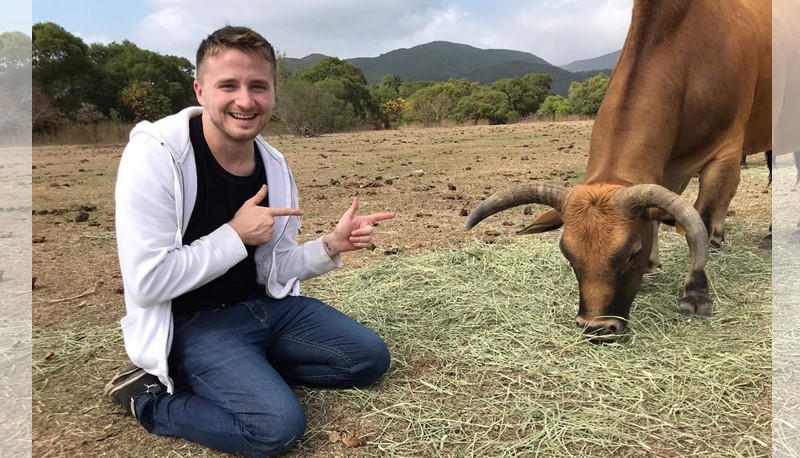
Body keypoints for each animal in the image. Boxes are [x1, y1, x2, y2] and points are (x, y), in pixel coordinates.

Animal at [466, 0, 772, 340]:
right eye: (568, 254)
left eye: (631, 253)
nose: (597, 327)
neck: (689, 56)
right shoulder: (666, 169)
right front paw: (655, 265)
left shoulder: (725, 153)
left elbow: (700, 220)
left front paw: (695, 293)